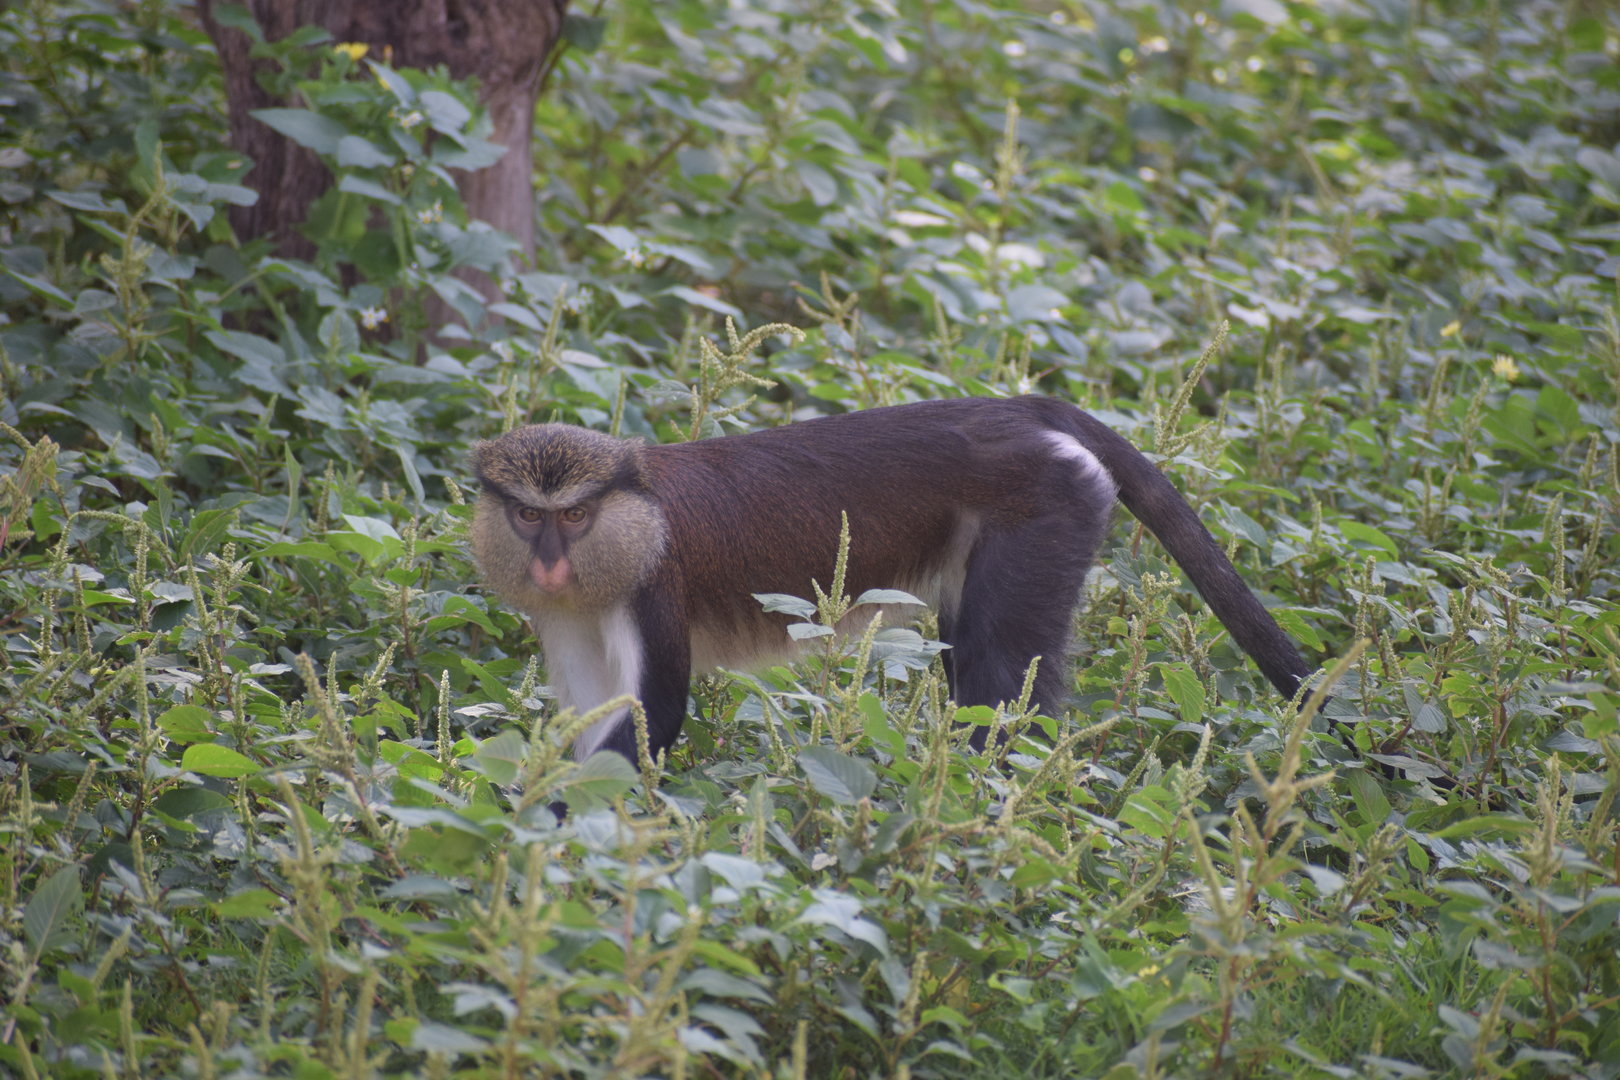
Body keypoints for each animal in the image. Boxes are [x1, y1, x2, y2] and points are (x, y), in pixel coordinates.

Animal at [469, 395, 1315, 767]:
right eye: (528, 516)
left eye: (577, 517)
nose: (550, 563)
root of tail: (1013, 407)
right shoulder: (566, 613)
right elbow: (592, 717)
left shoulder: (652, 590)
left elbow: (652, 718)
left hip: (1048, 508)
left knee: (996, 674)